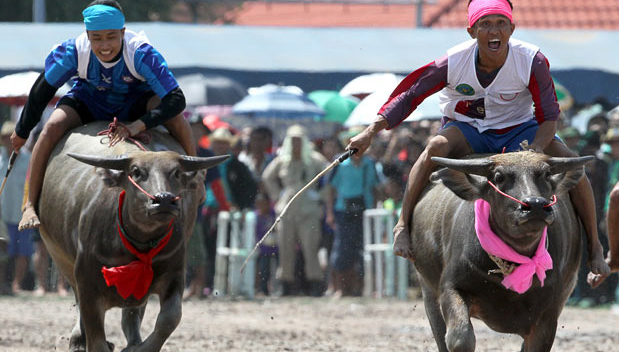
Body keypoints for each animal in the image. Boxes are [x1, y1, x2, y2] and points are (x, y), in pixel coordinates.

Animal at [37, 121, 229, 352]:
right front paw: (89, 341)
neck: (140, 242)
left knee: (133, 313)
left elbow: (170, 318)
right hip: (60, 257)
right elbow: (95, 335)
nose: (164, 200)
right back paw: (78, 340)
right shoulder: (86, 281)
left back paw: (132, 341)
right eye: (136, 172)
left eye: (175, 172)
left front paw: (139, 348)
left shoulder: (174, 274)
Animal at [414, 151, 592, 352]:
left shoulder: (548, 314)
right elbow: (460, 338)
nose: (536, 205)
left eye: (547, 175)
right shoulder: (450, 288)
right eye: (499, 177)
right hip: (428, 290)